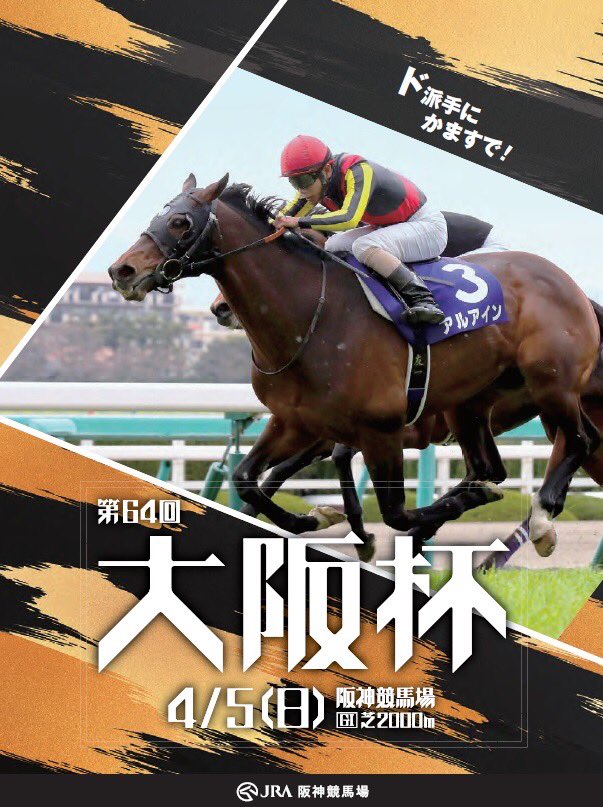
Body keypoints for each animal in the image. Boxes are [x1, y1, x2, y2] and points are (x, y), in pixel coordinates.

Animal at [109, 174, 600, 551]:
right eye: (157, 217)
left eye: (179, 221)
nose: (121, 271)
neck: (314, 318)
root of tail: (572, 286)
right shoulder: (297, 423)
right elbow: (249, 479)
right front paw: (316, 518)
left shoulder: (380, 430)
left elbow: (396, 513)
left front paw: (374, 533)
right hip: (472, 403)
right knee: (492, 467)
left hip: (551, 384)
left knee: (578, 440)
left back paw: (541, 520)